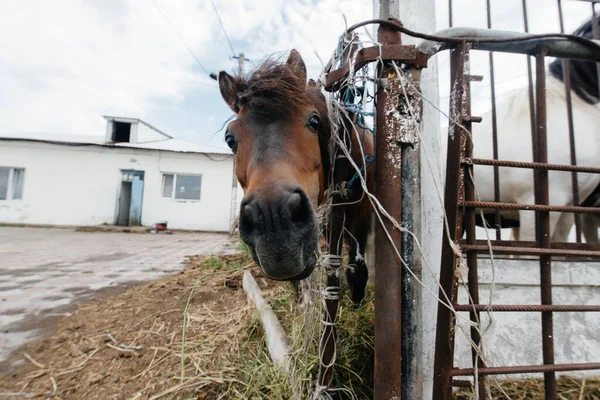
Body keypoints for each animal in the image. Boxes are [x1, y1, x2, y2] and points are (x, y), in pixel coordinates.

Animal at [216, 50, 376, 304]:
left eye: (314, 121)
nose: (273, 220)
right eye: (230, 139)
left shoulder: (362, 212)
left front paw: (357, 301)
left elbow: (357, 269)